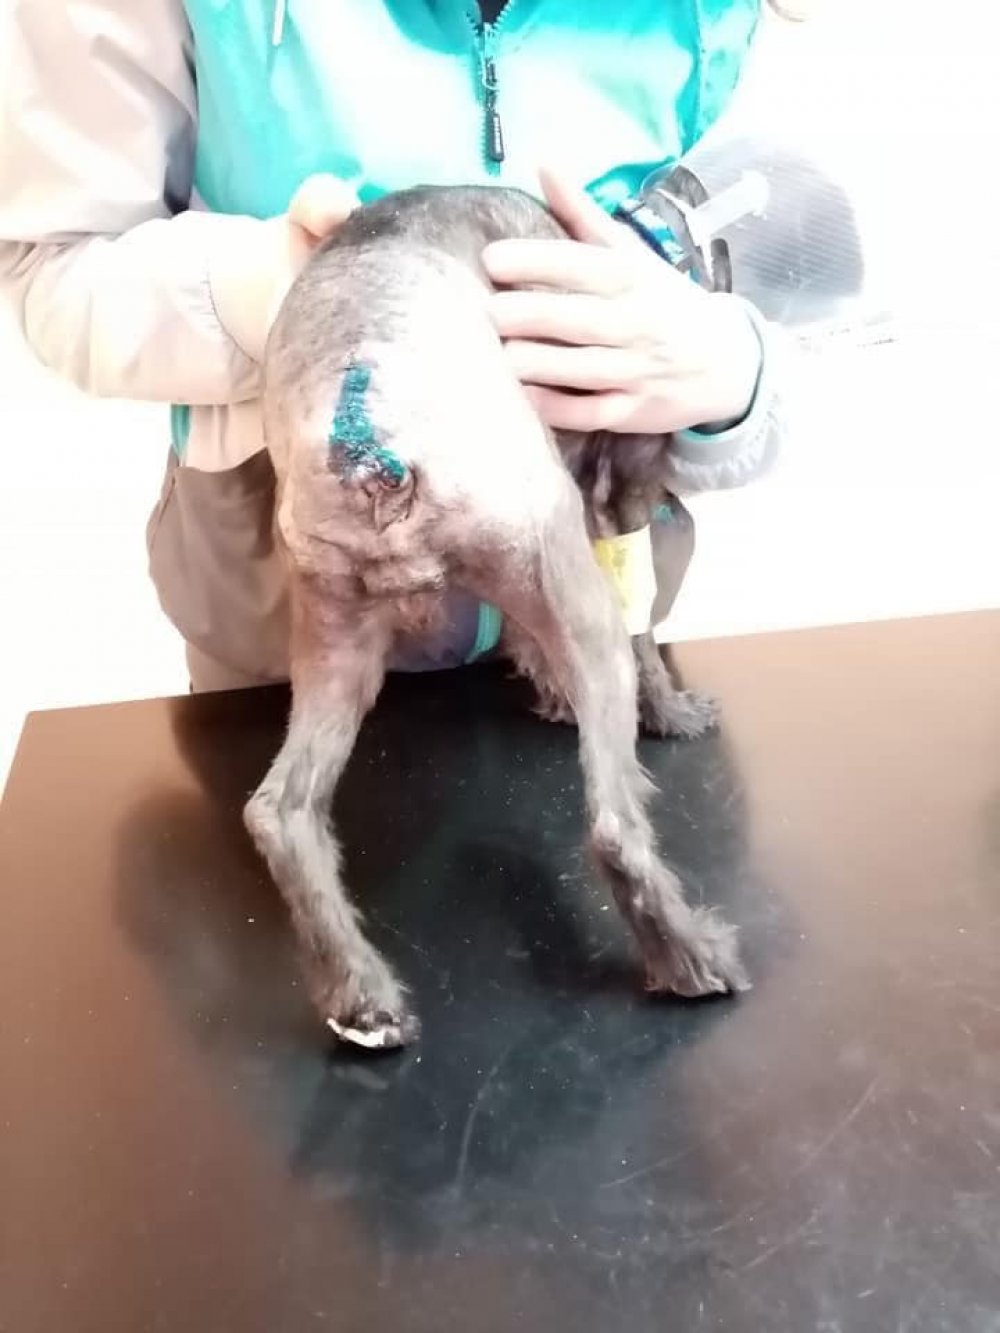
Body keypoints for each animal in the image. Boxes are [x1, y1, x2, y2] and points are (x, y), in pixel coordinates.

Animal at [245, 184, 748, 1049]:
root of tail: (367, 437)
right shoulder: (619, 499)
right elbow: (645, 628)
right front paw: (674, 712)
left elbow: (526, 637)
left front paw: (548, 692)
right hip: (566, 584)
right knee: (613, 823)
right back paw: (691, 957)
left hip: (335, 628)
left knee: (281, 809)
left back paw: (362, 999)